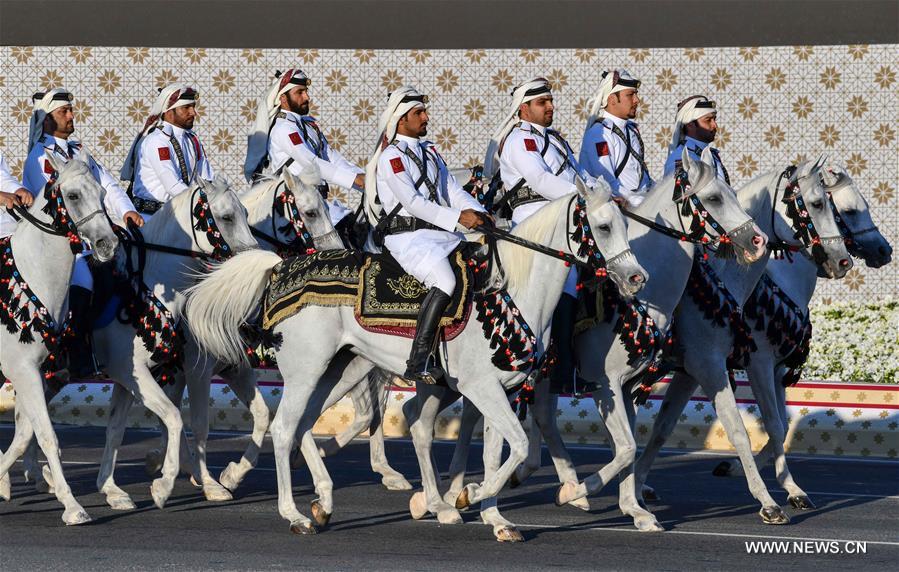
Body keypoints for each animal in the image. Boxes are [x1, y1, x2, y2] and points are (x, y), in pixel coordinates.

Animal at [0, 152, 119, 524]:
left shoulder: (37, 372)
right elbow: (47, 436)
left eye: (102, 191)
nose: (108, 245)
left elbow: (27, 434)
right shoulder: (21, 370)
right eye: (73, 195)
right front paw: (73, 507)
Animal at [185, 181, 648, 540]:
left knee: (303, 426)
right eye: (603, 226)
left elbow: (500, 452)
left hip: (337, 369)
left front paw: (495, 517)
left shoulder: (502, 389)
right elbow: (516, 446)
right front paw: (469, 496)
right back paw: (295, 514)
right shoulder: (481, 387)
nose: (636, 278)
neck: (510, 291)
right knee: (283, 430)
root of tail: (282, 268)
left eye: (624, 223)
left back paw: (324, 502)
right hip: (307, 371)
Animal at [624, 156, 856, 524]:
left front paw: (792, 489)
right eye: (819, 204)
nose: (842, 260)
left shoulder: (698, 372)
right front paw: (768, 500)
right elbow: (746, 429)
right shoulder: (735, 364)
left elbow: (663, 428)